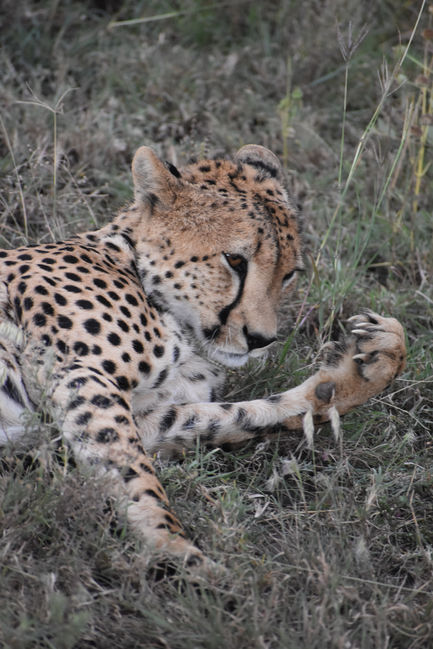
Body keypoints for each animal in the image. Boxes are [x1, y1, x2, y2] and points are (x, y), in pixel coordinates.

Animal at [0, 144, 406, 574]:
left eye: (288, 274)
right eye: (235, 260)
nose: (260, 339)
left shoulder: (145, 418)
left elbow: (253, 414)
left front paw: (370, 365)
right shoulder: (82, 374)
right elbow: (137, 475)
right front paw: (179, 555)